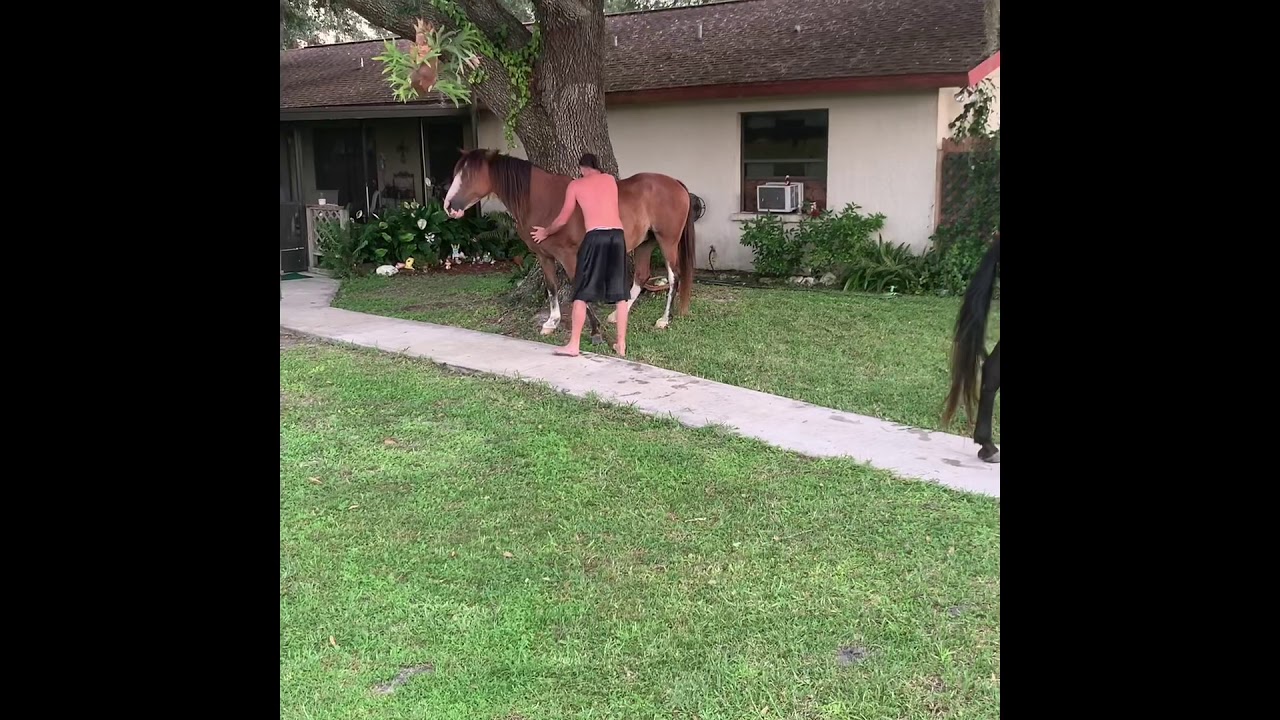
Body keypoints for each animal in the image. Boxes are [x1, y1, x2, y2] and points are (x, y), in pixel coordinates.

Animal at [443, 149, 696, 344]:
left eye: (470, 175)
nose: (449, 206)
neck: (544, 201)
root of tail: (676, 184)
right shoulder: (544, 256)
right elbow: (552, 287)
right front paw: (551, 322)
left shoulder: (569, 255)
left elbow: (578, 287)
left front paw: (595, 332)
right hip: (645, 242)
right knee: (642, 275)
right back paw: (617, 315)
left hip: (667, 241)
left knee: (674, 277)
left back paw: (664, 320)